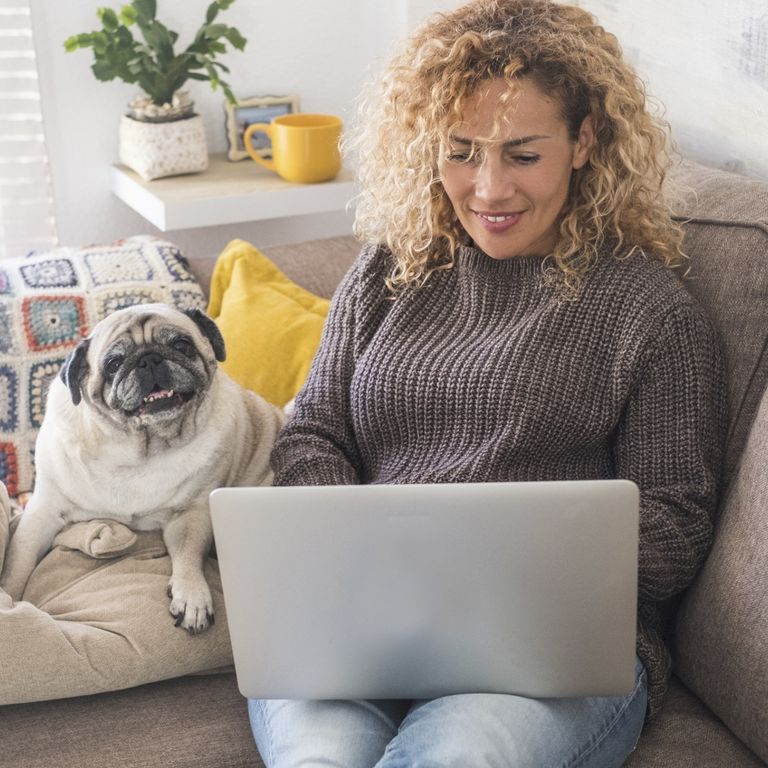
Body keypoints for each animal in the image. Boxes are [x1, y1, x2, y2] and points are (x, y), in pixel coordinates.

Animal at [0, 304, 286, 632]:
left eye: (181, 345)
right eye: (113, 364)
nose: (149, 359)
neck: (138, 449)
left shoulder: (189, 515)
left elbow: (188, 554)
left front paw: (192, 596)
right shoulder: (42, 513)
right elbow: (17, 562)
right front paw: (8, 599)